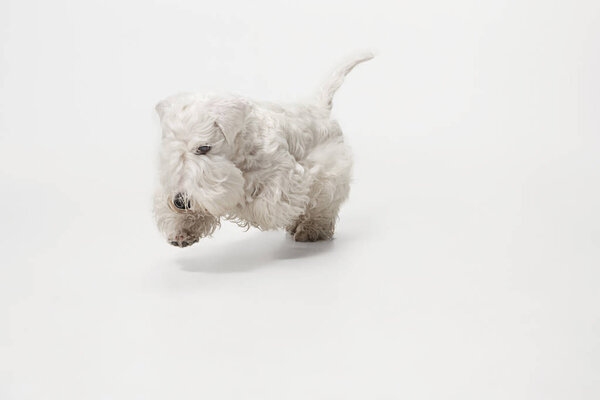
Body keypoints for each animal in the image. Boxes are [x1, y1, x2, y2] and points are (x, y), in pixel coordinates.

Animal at [152, 53, 372, 247]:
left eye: (203, 147)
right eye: (170, 147)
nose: (179, 202)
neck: (243, 149)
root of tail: (321, 108)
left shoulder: (287, 176)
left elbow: (267, 204)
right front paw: (182, 231)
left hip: (330, 172)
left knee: (324, 205)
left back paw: (311, 229)